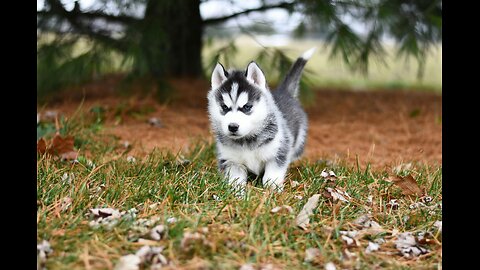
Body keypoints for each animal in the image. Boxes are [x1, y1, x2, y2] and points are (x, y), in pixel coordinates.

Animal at [206, 47, 316, 194]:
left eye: (247, 107)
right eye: (224, 107)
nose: (233, 127)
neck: (247, 141)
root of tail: (284, 92)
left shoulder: (278, 152)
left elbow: (271, 176)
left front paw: (273, 191)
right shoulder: (232, 161)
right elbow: (236, 180)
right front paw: (237, 194)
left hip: (299, 140)